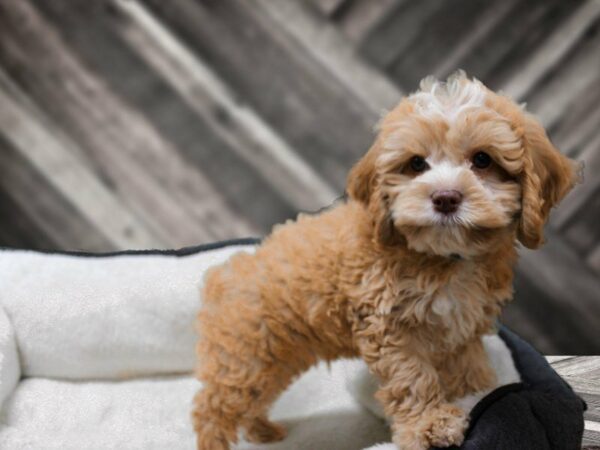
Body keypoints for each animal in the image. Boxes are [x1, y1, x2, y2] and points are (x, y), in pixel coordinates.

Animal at [190, 72, 580, 448]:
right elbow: (412, 378)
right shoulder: (388, 326)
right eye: (416, 164)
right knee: (213, 409)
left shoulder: (462, 324)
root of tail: (224, 275)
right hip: (245, 359)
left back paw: (263, 431)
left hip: (276, 359)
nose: (445, 197)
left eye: (483, 159)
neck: (444, 257)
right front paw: (430, 425)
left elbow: (467, 364)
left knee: (253, 402)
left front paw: (481, 394)